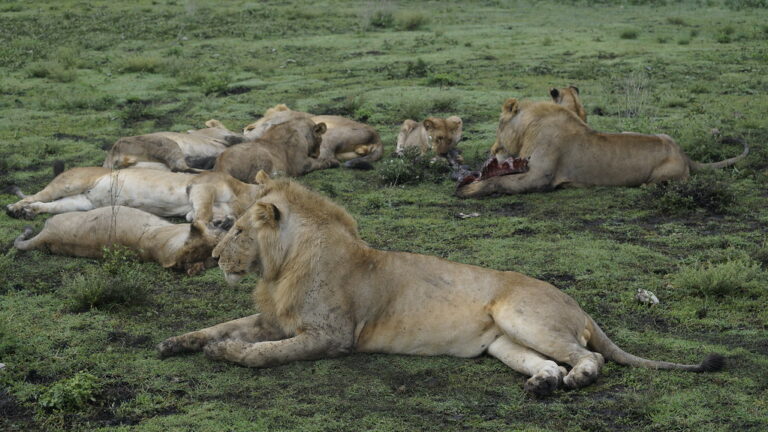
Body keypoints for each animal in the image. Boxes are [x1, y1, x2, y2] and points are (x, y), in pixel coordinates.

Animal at [158, 173, 723, 396]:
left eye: (235, 229)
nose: (215, 257)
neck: (282, 267)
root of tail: (581, 306)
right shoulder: (276, 316)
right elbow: (223, 324)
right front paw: (175, 343)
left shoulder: (333, 337)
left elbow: (265, 353)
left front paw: (228, 354)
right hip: (502, 342)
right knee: (545, 363)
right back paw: (542, 385)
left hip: (521, 315)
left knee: (591, 357)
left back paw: (577, 379)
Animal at [456, 98, 748, 198]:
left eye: (498, 125)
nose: (492, 149)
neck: (530, 126)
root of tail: (684, 153)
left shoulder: (540, 177)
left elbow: (500, 182)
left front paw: (469, 189)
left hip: (666, 175)